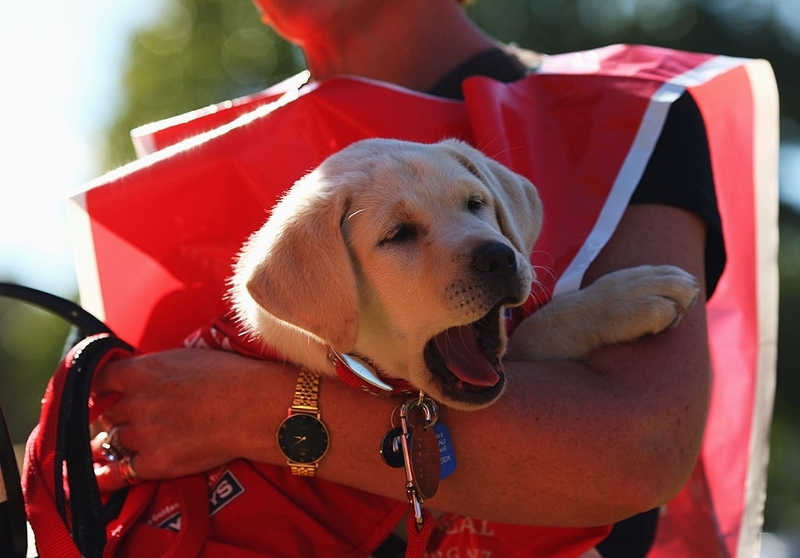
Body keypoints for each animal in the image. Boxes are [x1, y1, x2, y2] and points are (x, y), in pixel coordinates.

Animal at [230, 140, 692, 412]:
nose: (500, 258)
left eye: (476, 204)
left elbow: (535, 329)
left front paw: (627, 295)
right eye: (398, 234)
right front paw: (633, 295)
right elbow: (530, 334)